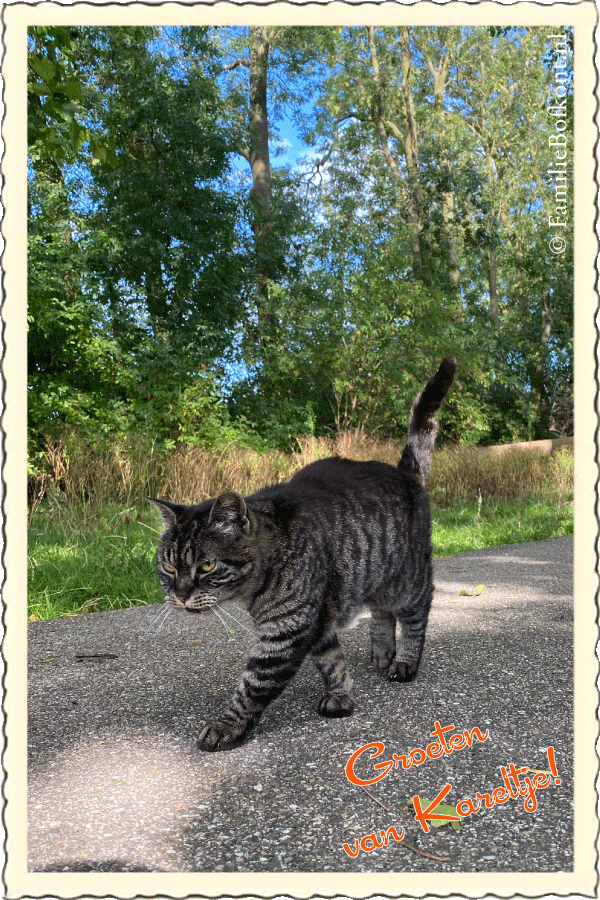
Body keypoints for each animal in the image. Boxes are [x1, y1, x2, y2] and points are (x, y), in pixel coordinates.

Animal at [149, 356, 454, 748]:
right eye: (170, 569)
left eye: (206, 566)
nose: (180, 595)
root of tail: (404, 473)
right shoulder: (318, 621)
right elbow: (332, 661)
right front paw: (342, 696)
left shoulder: (286, 632)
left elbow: (253, 685)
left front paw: (226, 726)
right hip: (374, 575)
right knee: (382, 613)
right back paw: (382, 651)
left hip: (409, 579)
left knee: (416, 616)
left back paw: (404, 661)